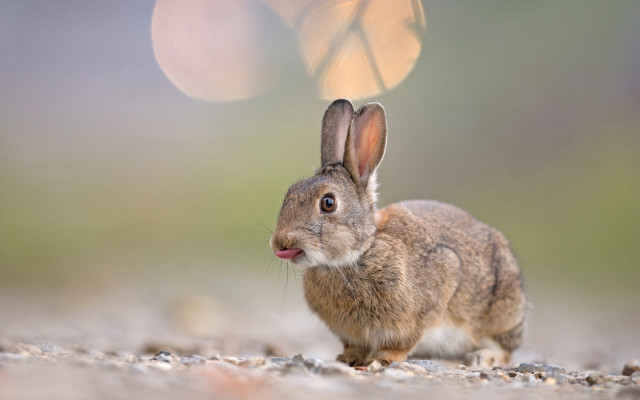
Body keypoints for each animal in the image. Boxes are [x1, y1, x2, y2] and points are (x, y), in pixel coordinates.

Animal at [270, 99, 526, 367]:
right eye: (289, 193)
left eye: (328, 203)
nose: (279, 242)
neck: (361, 251)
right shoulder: (352, 335)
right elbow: (354, 347)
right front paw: (346, 359)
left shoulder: (420, 310)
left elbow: (402, 343)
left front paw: (382, 360)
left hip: (500, 313)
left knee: (504, 350)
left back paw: (481, 357)